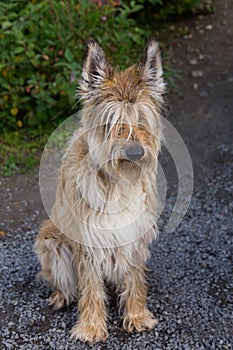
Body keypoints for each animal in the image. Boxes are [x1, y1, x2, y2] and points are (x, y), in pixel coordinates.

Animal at [35, 37, 166, 342]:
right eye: (111, 120)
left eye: (142, 118)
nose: (135, 151)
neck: (117, 181)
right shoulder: (88, 241)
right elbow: (91, 287)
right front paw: (91, 327)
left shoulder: (133, 235)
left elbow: (134, 278)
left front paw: (137, 315)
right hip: (50, 241)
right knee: (66, 283)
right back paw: (62, 296)